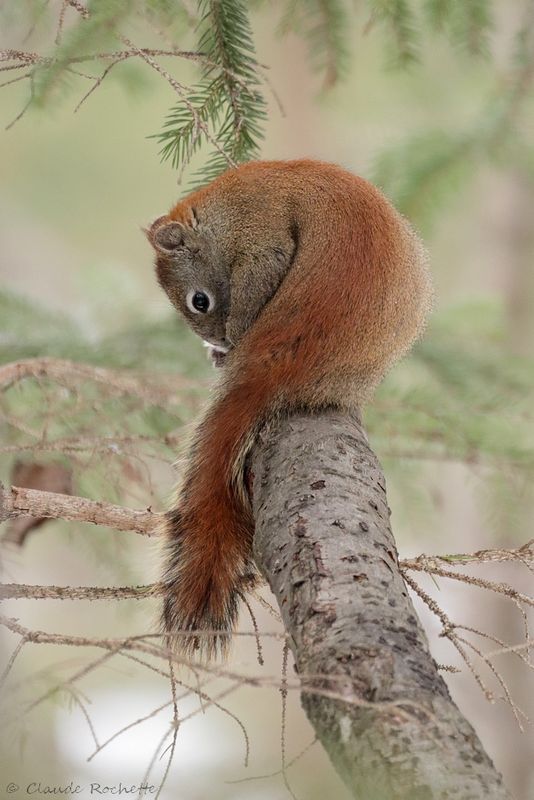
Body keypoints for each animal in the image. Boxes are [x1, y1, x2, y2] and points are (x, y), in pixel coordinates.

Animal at [149, 156, 434, 656]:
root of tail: (288, 353)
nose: (218, 339)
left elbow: (263, 265)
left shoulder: (259, 231)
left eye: (199, 300)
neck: (214, 210)